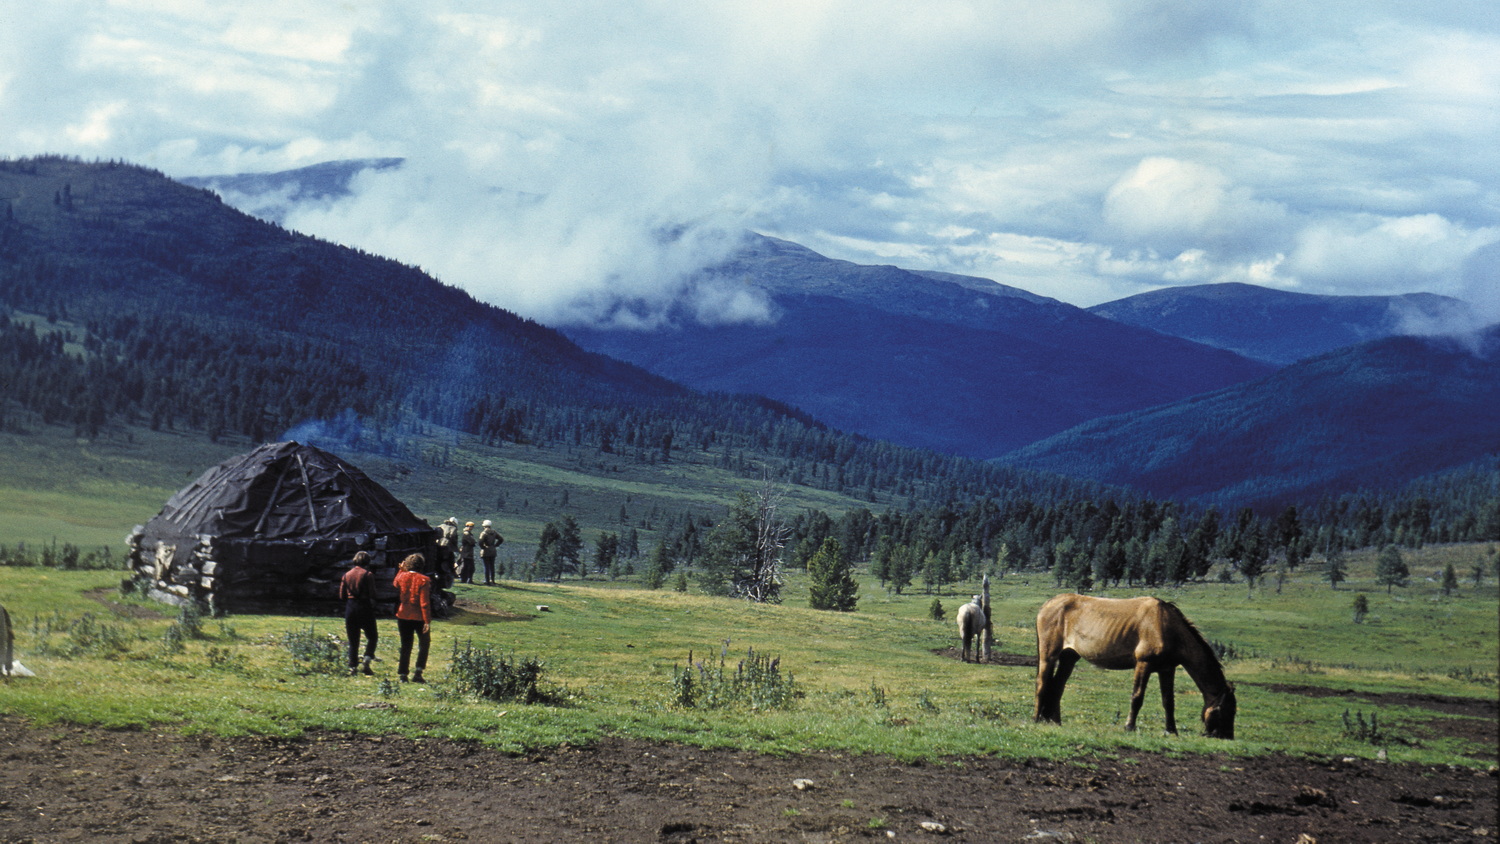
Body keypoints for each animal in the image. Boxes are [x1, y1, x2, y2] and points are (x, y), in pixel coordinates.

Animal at [1038, 593, 1236, 740]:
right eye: (1226, 711)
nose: (1227, 736)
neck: (1168, 627)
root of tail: (1047, 605)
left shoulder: (1167, 669)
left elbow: (1168, 701)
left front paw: (1171, 730)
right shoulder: (1143, 664)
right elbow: (1137, 697)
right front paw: (1129, 726)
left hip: (1069, 657)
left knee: (1057, 687)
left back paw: (1055, 721)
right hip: (1048, 655)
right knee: (1042, 683)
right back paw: (1037, 719)